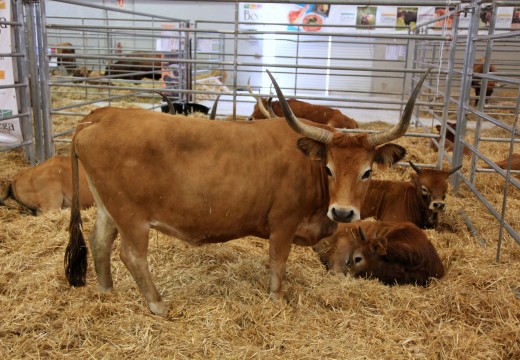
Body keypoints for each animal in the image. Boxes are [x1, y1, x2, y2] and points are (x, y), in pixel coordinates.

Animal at [64, 68, 430, 316]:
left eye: (367, 172)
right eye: (329, 169)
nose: (342, 212)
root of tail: (102, 114)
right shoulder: (283, 223)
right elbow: (278, 264)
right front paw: (277, 300)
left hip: (108, 209)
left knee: (100, 243)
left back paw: (107, 292)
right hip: (131, 216)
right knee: (132, 255)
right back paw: (157, 305)